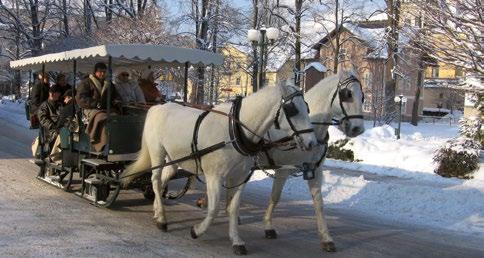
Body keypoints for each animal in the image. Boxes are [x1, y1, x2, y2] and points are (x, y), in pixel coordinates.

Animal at [121, 83, 318, 255]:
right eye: (293, 109)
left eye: (307, 108)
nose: (312, 143)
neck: (235, 131)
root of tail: (157, 107)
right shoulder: (214, 177)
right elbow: (214, 208)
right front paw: (197, 230)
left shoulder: (239, 178)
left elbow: (233, 208)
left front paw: (236, 241)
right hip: (157, 153)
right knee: (155, 180)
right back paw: (162, 219)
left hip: (173, 159)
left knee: (162, 181)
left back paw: (157, 210)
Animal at [225, 69, 364, 253]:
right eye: (347, 94)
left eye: (362, 96)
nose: (358, 129)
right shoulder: (283, 170)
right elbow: (275, 197)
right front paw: (268, 226)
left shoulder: (314, 170)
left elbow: (319, 203)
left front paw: (326, 238)